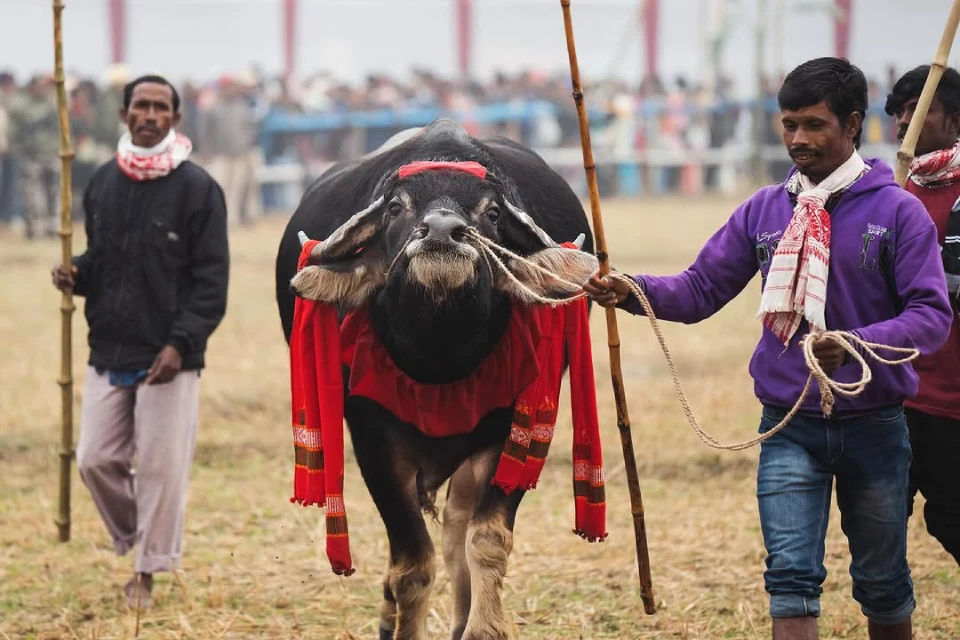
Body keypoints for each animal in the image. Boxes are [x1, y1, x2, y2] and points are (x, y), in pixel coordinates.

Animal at [276, 120, 600, 640]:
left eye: (491, 212)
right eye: (395, 207)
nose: (444, 231)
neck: (439, 350)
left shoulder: (510, 431)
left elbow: (487, 539)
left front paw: (484, 627)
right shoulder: (372, 439)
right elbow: (411, 564)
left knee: (455, 528)